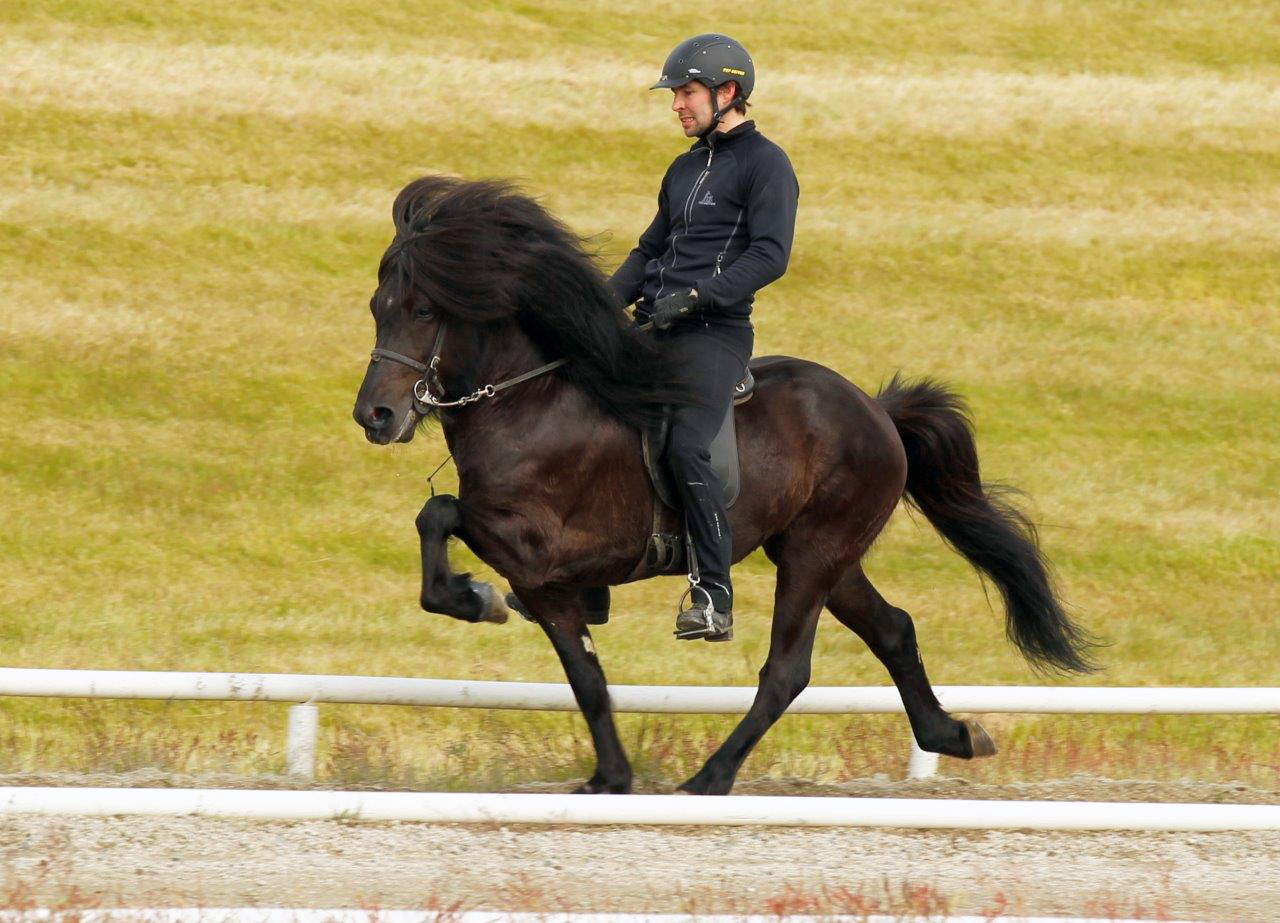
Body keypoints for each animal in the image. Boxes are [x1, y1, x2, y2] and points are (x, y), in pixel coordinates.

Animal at [352, 175, 1095, 796]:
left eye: (424, 311)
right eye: (377, 308)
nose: (375, 416)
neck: (526, 403)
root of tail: (877, 410)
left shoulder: (551, 554)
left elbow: (442, 514)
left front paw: (475, 598)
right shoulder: (546, 581)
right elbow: (585, 673)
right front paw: (609, 777)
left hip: (816, 553)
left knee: (788, 671)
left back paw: (711, 777)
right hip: (821, 553)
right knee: (893, 630)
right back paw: (954, 734)